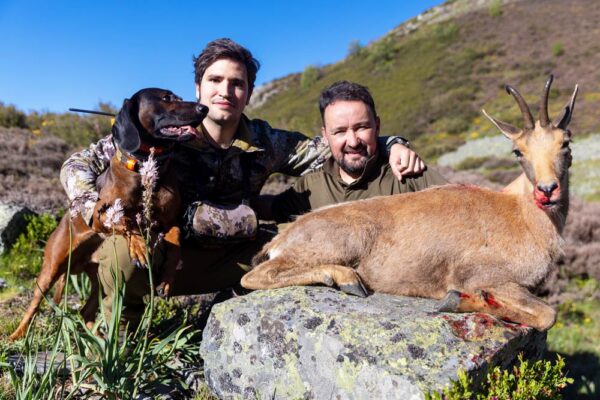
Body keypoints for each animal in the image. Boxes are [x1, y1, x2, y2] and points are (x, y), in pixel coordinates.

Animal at [9, 88, 209, 340]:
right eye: (166, 98)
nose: (204, 109)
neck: (143, 168)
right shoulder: (106, 211)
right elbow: (127, 220)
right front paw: (139, 246)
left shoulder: (169, 222)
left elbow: (175, 241)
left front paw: (165, 278)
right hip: (52, 267)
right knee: (34, 304)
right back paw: (17, 335)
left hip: (100, 280)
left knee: (86, 310)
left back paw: (94, 336)